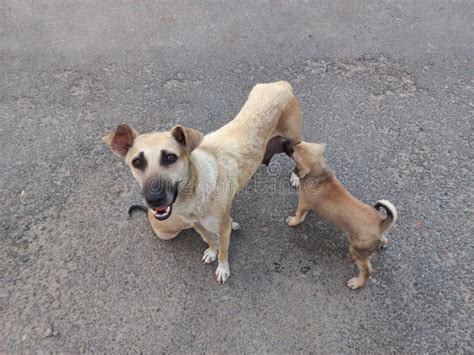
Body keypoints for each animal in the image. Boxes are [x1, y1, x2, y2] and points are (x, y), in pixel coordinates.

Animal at [103, 80, 302, 284]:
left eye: (170, 157)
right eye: (137, 162)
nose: (154, 199)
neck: (195, 190)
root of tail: (279, 85)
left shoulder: (222, 227)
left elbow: (224, 250)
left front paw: (222, 267)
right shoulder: (196, 224)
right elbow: (209, 239)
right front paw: (212, 251)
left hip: (294, 137)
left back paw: (296, 176)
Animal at [286, 142, 396, 290]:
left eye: (293, 151)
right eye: (299, 144)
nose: (289, 144)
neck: (320, 174)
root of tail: (381, 224)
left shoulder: (303, 203)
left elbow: (299, 216)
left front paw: (293, 221)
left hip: (357, 251)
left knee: (367, 271)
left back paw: (357, 283)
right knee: (383, 241)